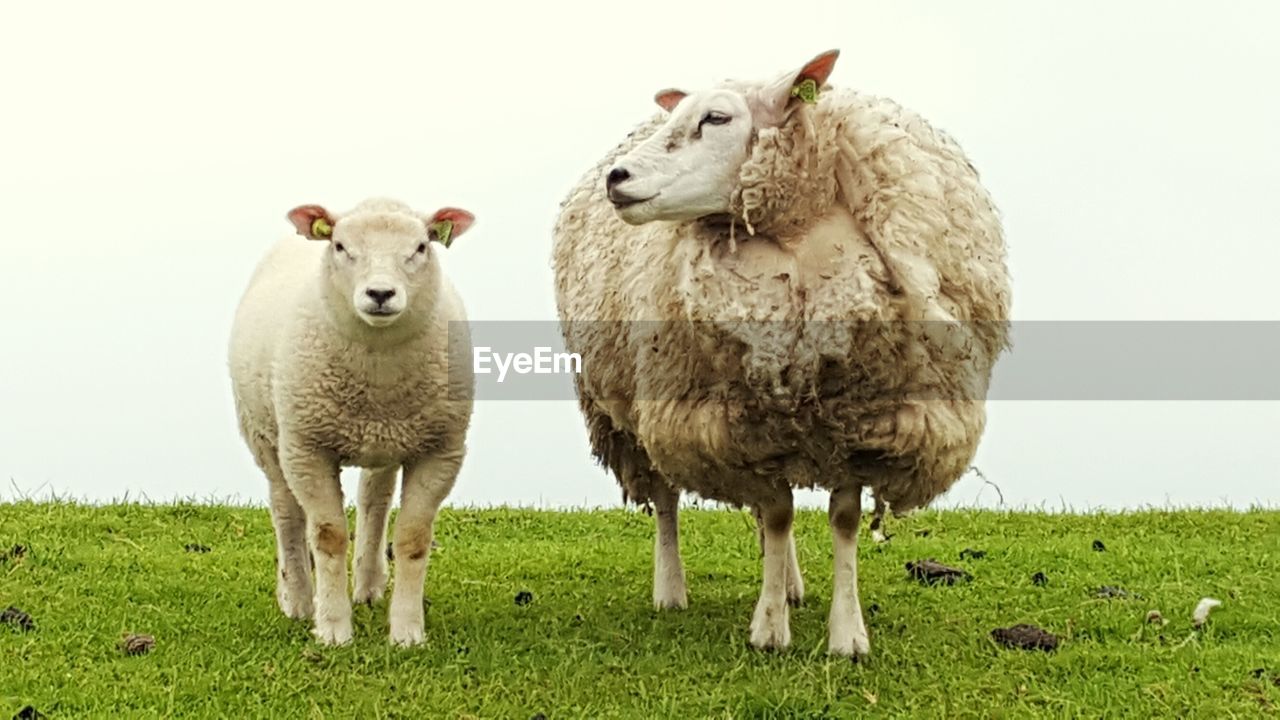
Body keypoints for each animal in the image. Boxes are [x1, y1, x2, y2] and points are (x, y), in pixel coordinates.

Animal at [229, 197, 476, 645]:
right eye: (341, 246)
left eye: (421, 246)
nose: (380, 293)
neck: (377, 367)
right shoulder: (307, 449)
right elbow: (328, 535)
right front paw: (332, 629)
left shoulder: (440, 450)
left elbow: (413, 538)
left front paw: (407, 632)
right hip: (267, 435)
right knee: (286, 510)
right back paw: (297, 599)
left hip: (388, 439)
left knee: (374, 501)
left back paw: (368, 584)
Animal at [550, 49, 1008, 655]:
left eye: (716, 118)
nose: (617, 177)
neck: (796, 242)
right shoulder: (745, 425)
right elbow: (777, 514)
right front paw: (769, 629)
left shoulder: (858, 422)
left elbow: (839, 520)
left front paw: (846, 635)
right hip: (639, 407)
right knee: (667, 497)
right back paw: (672, 589)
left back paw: (791, 583)